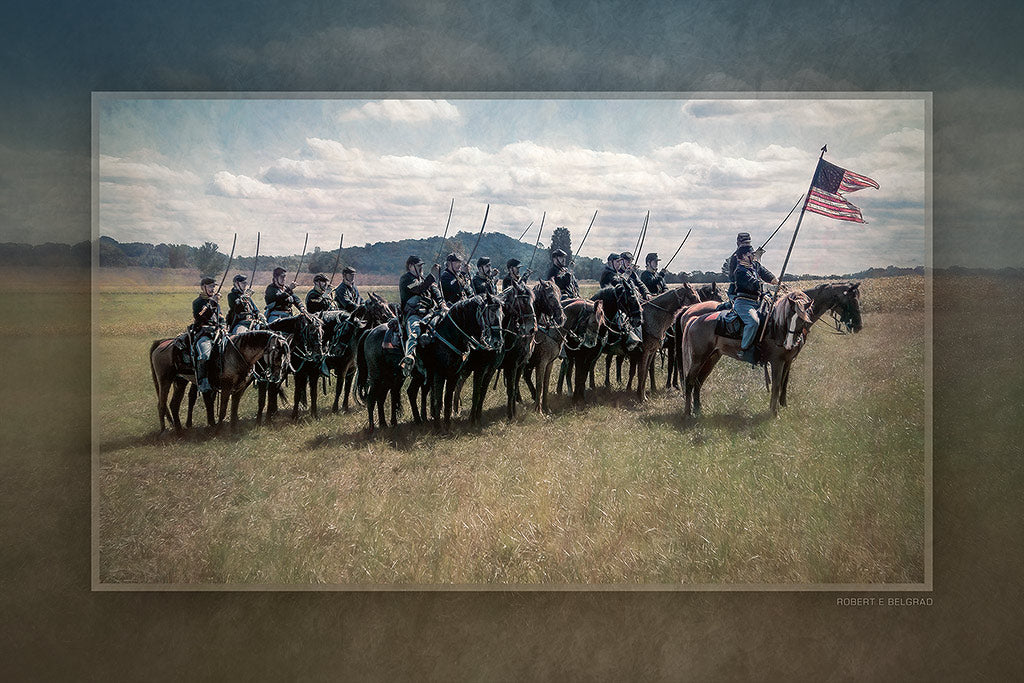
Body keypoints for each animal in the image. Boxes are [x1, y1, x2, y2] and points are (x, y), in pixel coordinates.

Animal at [149, 329, 290, 432]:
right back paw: (164, 431)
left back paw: (179, 430)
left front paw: (233, 429)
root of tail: (162, 343)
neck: (237, 354)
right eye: (277, 354)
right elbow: (223, 410)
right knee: (161, 405)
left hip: (180, 382)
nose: (277, 377)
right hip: (165, 381)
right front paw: (220, 430)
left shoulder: (239, 388)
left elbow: (234, 409)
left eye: (285, 355)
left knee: (174, 405)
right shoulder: (226, 387)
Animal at [684, 282, 860, 417]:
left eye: (858, 299)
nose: (858, 325)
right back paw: (688, 413)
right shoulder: (777, 361)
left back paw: (698, 410)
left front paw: (782, 405)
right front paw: (774, 413)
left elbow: (784, 382)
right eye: (852, 300)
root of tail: (694, 319)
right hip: (698, 358)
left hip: (712, 357)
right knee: (689, 380)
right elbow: (775, 384)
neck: (777, 326)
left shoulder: (789, 360)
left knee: (699, 382)